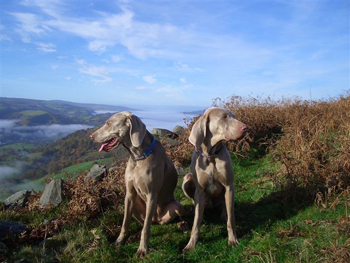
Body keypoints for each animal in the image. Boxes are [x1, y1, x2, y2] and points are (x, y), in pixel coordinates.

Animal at [90, 112, 186, 258]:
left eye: (108, 123)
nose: (91, 136)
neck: (139, 156)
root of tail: (157, 220)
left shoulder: (152, 195)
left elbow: (146, 229)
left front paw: (142, 249)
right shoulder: (129, 194)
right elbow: (125, 222)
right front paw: (119, 241)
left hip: (176, 206)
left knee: (168, 217)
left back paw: (182, 224)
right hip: (135, 204)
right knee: (144, 221)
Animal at [182, 107, 247, 252]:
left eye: (234, 116)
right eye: (224, 117)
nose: (246, 127)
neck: (210, 156)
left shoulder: (229, 186)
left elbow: (231, 219)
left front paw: (233, 239)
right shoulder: (200, 190)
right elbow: (196, 223)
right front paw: (190, 244)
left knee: (225, 206)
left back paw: (223, 215)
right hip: (187, 179)